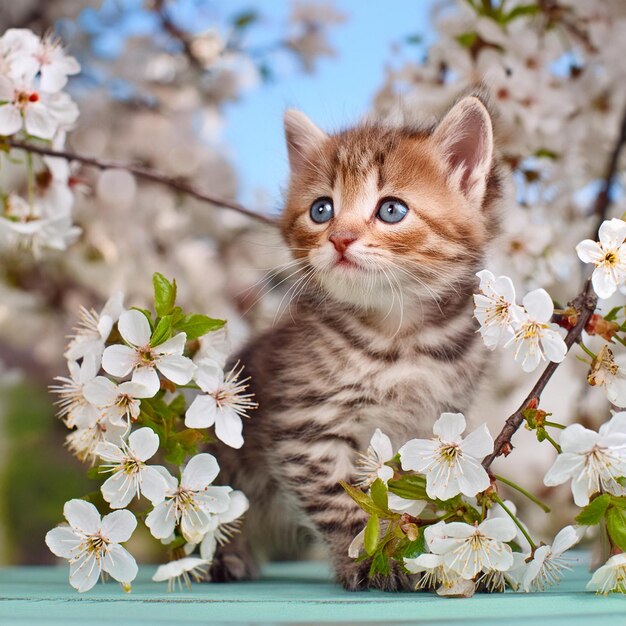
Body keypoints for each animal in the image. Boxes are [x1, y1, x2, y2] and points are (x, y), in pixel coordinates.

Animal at [212, 95, 500, 588]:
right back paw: (227, 558)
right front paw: (369, 558)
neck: (402, 335)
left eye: (391, 210)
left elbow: (416, 495)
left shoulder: (433, 423)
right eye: (321, 210)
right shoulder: (306, 427)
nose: (340, 238)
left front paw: (428, 553)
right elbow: (342, 501)